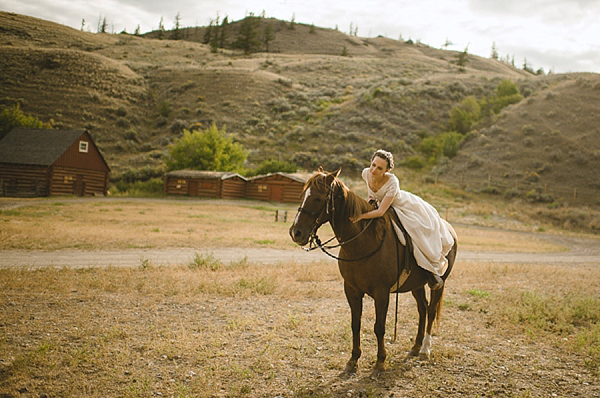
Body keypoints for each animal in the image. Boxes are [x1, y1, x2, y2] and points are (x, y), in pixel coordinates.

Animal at [288, 169, 458, 380]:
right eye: (303, 196)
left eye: (318, 198)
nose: (296, 233)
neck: (362, 242)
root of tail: (449, 229)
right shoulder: (351, 290)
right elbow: (355, 324)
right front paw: (353, 361)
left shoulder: (381, 292)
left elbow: (379, 327)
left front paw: (380, 363)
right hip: (416, 285)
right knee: (423, 309)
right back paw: (416, 346)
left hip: (439, 283)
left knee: (432, 310)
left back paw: (425, 349)